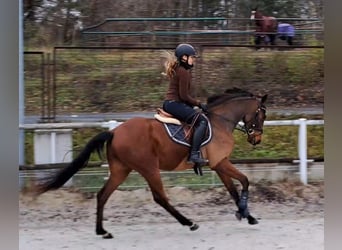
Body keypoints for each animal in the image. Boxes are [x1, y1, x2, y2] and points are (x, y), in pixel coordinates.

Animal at [33, 87, 268, 238]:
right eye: (261, 115)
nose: (256, 139)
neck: (220, 121)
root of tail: (115, 132)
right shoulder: (219, 163)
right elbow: (245, 181)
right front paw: (245, 213)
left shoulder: (219, 164)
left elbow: (233, 190)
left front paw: (246, 215)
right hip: (149, 168)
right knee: (160, 198)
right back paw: (189, 222)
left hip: (121, 170)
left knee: (102, 195)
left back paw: (102, 231)